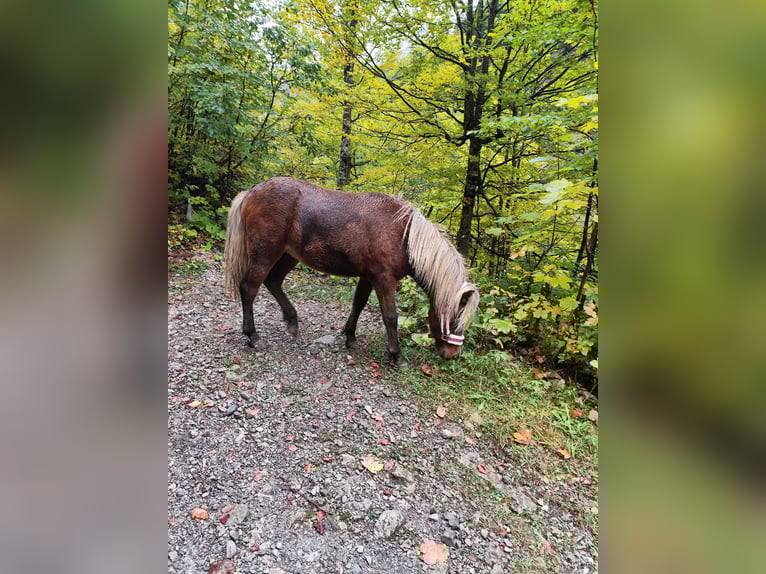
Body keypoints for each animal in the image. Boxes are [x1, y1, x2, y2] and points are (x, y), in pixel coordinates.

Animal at [223, 177, 479, 362]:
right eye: (455, 318)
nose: (451, 354)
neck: (403, 235)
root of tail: (251, 192)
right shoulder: (384, 279)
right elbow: (390, 316)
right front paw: (395, 355)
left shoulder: (368, 277)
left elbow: (358, 304)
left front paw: (350, 336)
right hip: (265, 254)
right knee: (249, 288)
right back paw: (252, 335)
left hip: (288, 256)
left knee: (273, 282)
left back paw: (292, 320)